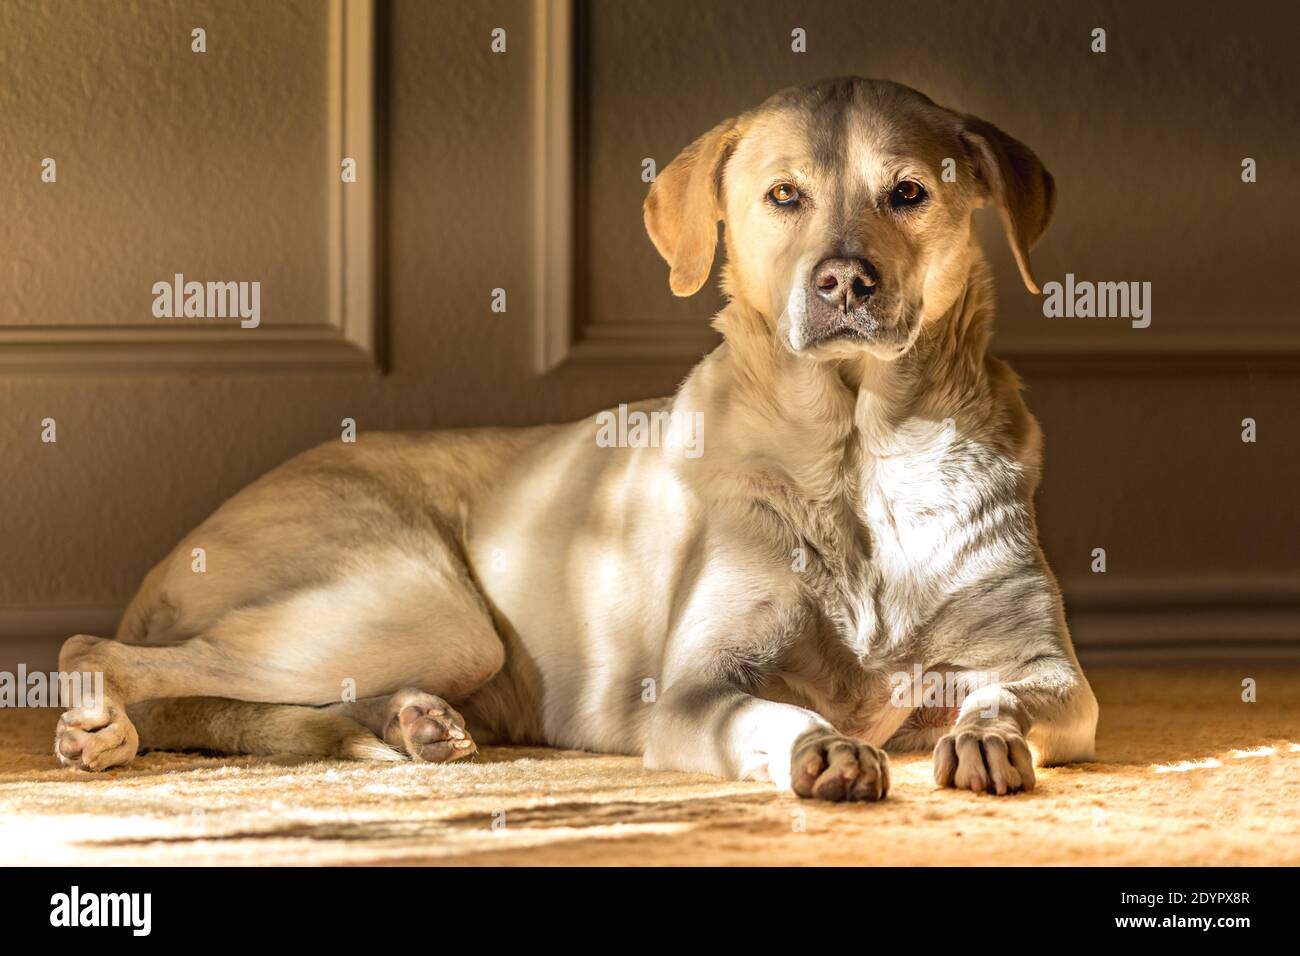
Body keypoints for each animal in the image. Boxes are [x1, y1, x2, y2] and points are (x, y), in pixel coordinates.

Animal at [58, 80, 1097, 801]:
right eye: (784, 196)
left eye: (909, 192)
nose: (845, 281)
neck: (857, 455)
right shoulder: (694, 694)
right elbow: (775, 712)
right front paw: (824, 745)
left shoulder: (1051, 676)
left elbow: (1008, 694)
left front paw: (985, 735)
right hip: (422, 606)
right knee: (96, 650)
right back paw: (103, 725)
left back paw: (410, 724)